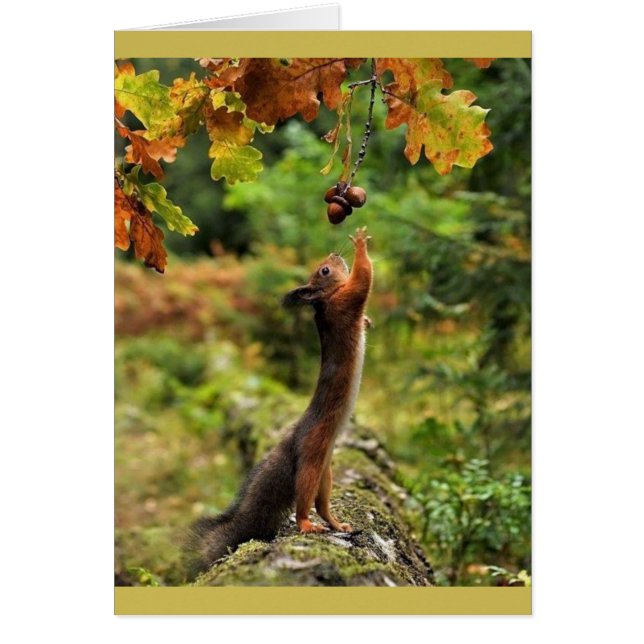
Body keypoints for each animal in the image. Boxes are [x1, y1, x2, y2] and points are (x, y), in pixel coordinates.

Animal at [186, 226, 373, 575]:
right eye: (324, 271)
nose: (334, 254)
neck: (324, 302)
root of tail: (294, 439)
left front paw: (368, 321)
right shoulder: (344, 302)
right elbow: (362, 281)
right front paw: (360, 245)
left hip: (325, 471)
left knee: (321, 504)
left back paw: (337, 524)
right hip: (312, 459)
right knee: (303, 502)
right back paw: (306, 525)